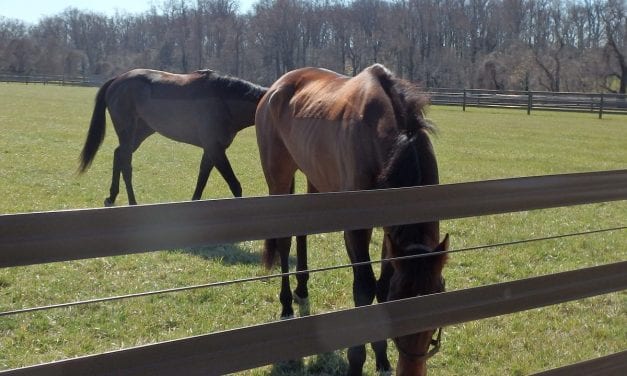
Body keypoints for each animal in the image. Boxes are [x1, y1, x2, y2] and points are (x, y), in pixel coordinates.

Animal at [78, 69, 268, 207]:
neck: (223, 99)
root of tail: (117, 80)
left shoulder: (211, 150)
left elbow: (201, 180)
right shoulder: (215, 149)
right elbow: (235, 185)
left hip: (140, 133)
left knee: (118, 155)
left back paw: (111, 197)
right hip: (128, 132)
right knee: (126, 163)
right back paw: (132, 202)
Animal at [256, 65, 452, 376]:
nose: (410, 369)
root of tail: (276, 86)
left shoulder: (391, 234)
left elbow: (381, 284)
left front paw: (381, 356)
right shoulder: (356, 230)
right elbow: (365, 288)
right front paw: (357, 361)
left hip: (314, 177)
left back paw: (302, 289)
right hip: (278, 177)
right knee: (284, 240)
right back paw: (286, 305)